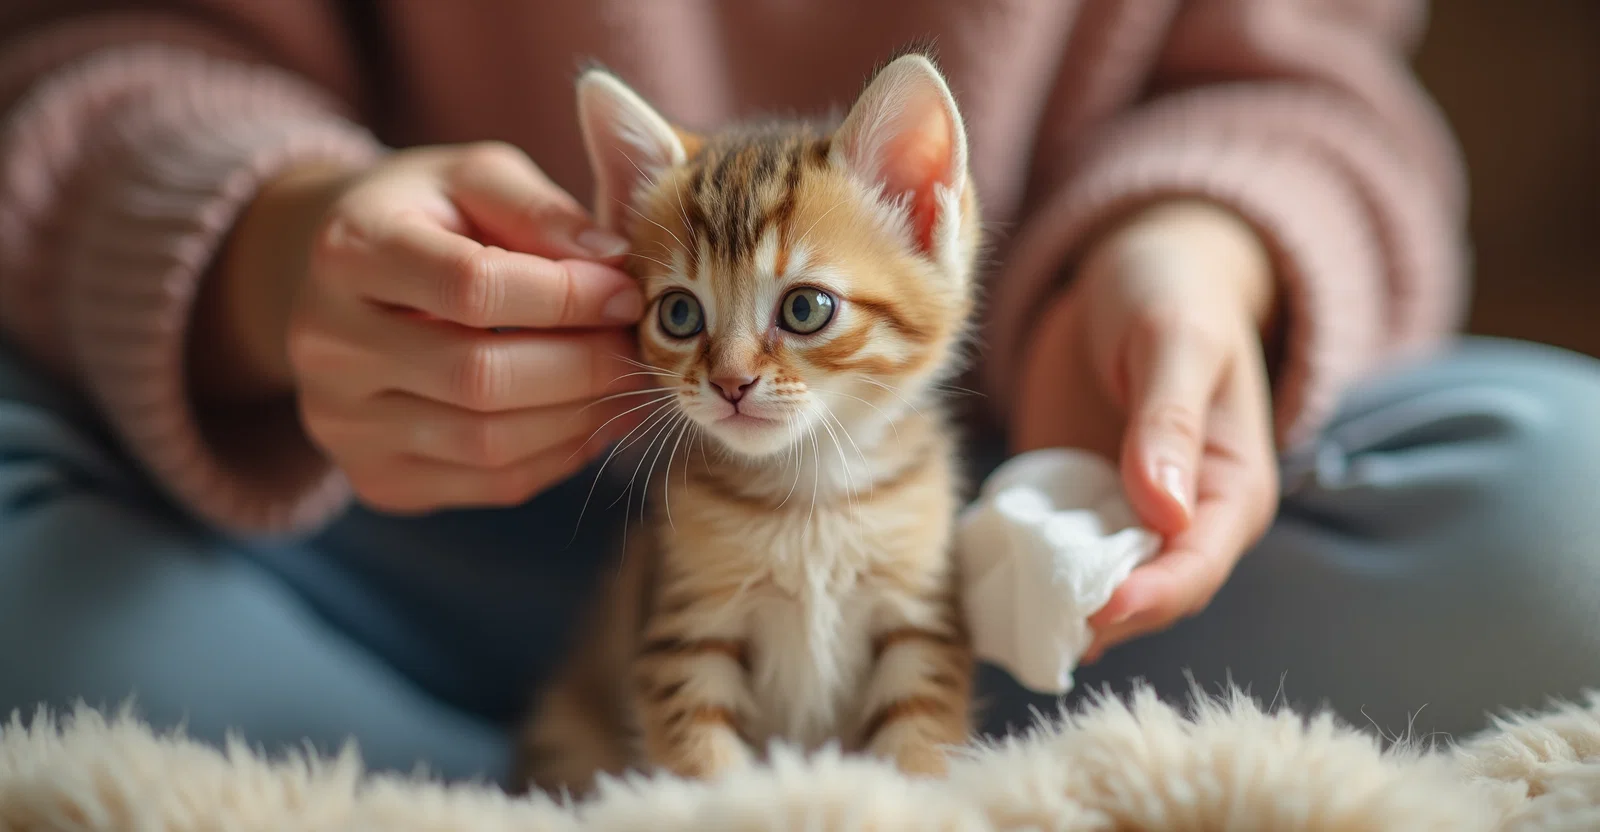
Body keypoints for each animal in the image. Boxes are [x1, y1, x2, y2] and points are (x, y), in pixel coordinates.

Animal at [518, 53, 979, 800]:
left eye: (806, 308)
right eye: (679, 314)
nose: (730, 383)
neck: (809, 497)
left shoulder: (919, 619)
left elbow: (921, 736)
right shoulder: (685, 632)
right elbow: (702, 763)